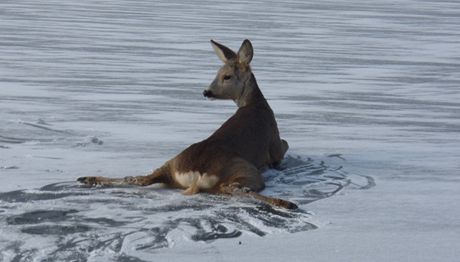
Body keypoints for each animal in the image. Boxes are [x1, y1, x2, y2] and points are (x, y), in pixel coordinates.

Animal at [77, 39, 296, 210]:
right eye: (218, 73)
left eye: (226, 76)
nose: (207, 92)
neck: (255, 104)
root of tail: (198, 175)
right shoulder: (275, 146)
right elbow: (285, 145)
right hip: (245, 168)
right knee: (233, 188)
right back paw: (286, 203)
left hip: (172, 163)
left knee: (140, 178)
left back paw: (87, 178)